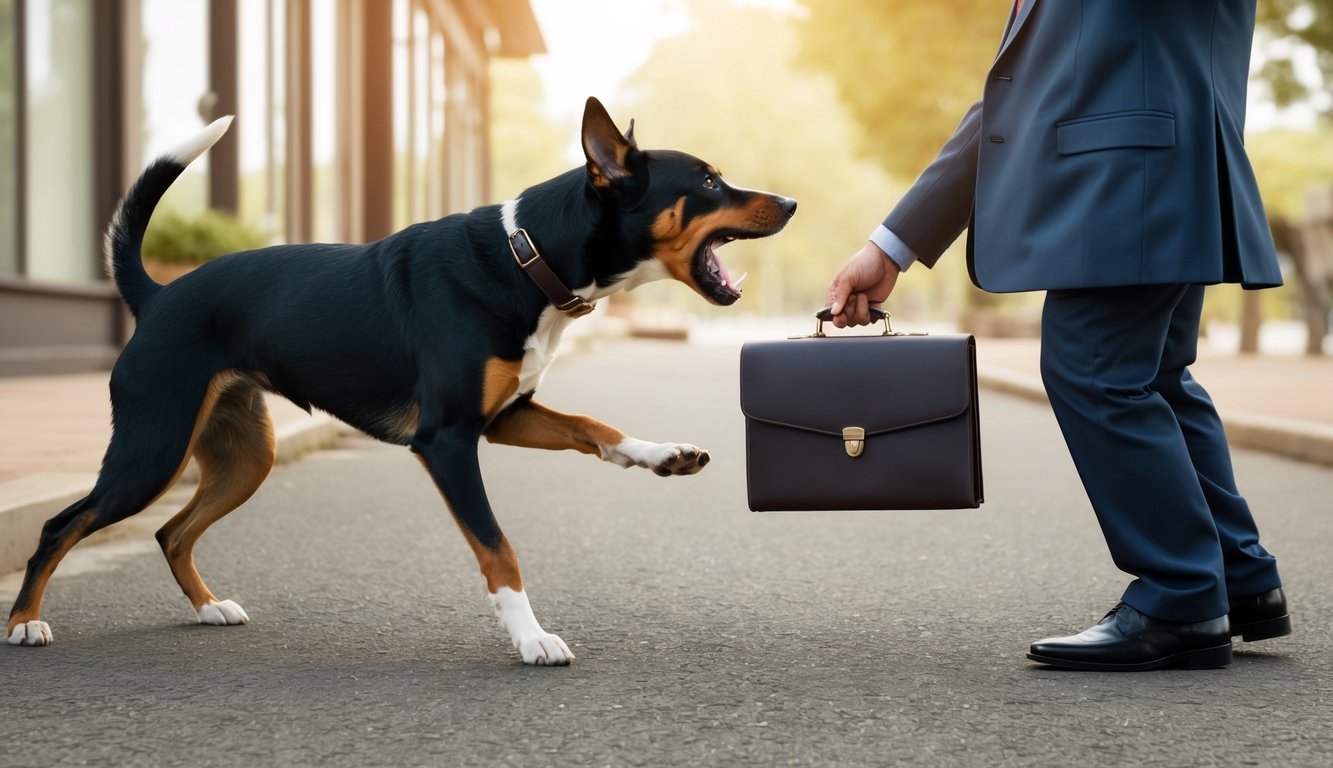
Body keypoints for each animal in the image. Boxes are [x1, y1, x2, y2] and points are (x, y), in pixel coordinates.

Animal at [5, 96, 794, 664]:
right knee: (61, 525)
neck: (525, 255)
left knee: (172, 531)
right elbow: (498, 547)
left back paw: (207, 608)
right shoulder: (447, 441)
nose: (789, 203)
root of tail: (159, 294)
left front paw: (663, 455)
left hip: (245, 455)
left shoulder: (505, 417)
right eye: (707, 182)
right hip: (152, 448)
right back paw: (24, 624)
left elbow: (592, 428)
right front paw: (530, 637)